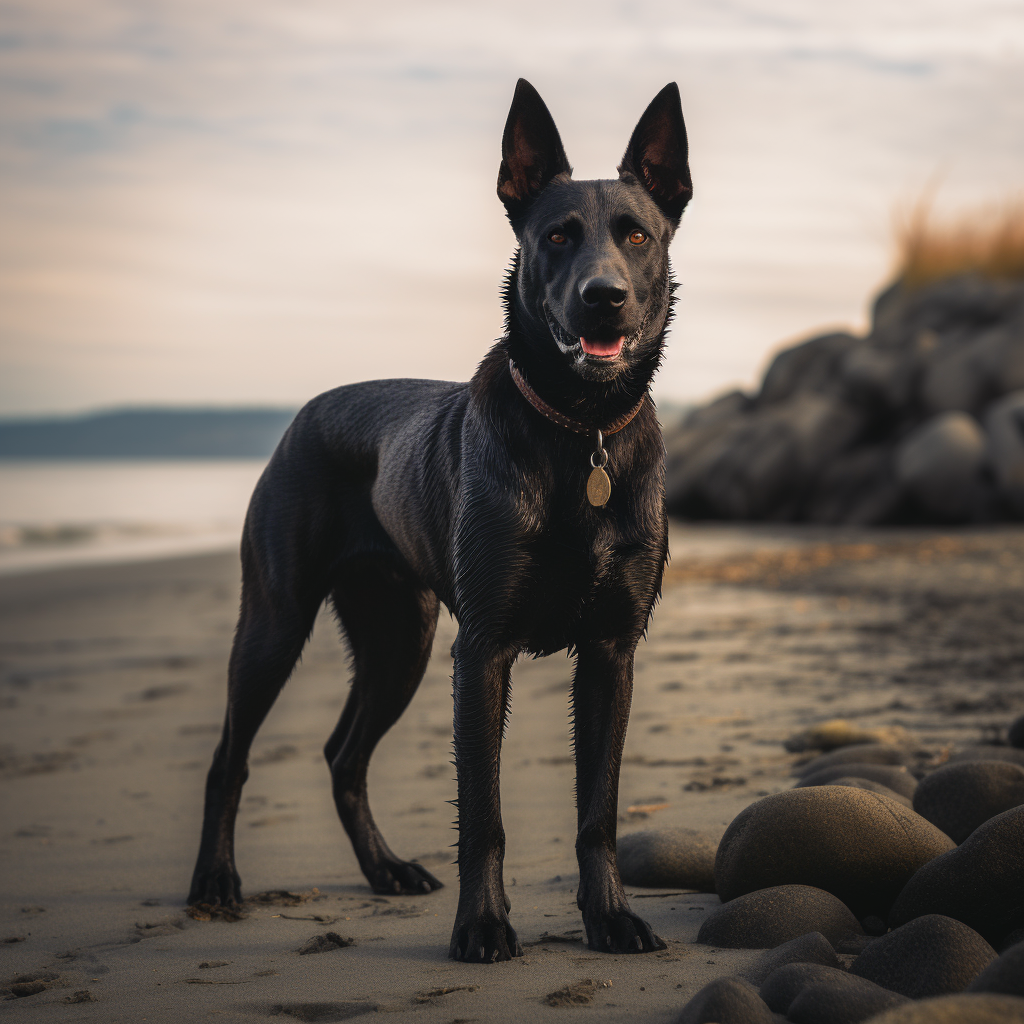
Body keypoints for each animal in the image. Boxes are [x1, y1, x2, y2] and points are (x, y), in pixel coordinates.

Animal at [188, 77, 692, 958]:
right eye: (557, 237)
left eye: (636, 234)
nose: (603, 299)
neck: (579, 431)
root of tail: (305, 413)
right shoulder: (481, 652)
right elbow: (483, 815)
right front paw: (484, 925)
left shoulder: (611, 651)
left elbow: (597, 810)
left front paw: (610, 917)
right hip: (278, 625)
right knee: (230, 756)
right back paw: (216, 881)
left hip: (399, 638)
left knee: (343, 757)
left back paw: (385, 870)